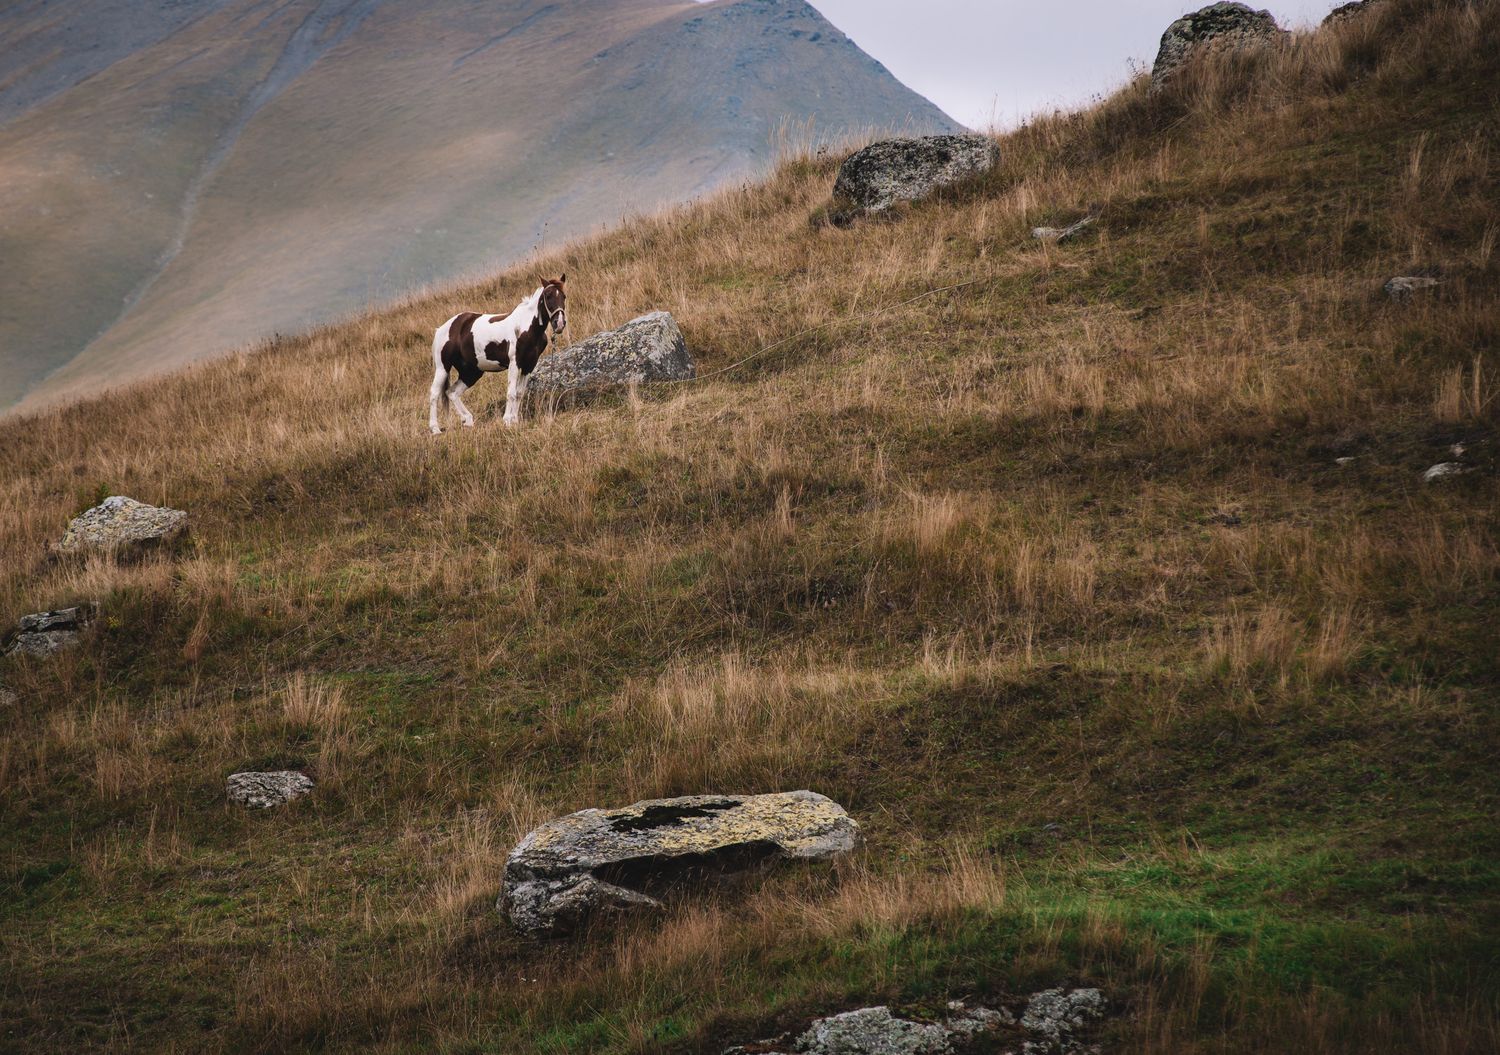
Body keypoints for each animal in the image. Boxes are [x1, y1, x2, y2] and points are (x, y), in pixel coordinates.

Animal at [428, 275, 568, 433]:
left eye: (564, 296)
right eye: (548, 296)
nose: (559, 323)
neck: (526, 328)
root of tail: (442, 329)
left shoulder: (529, 365)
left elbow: (519, 393)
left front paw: (515, 421)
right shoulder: (514, 363)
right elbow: (511, 392)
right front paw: (507, 421)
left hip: (471, 372)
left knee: (452, 392)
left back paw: (468, 421)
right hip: (443, 368)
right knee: (435, 393)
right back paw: (435, 429)